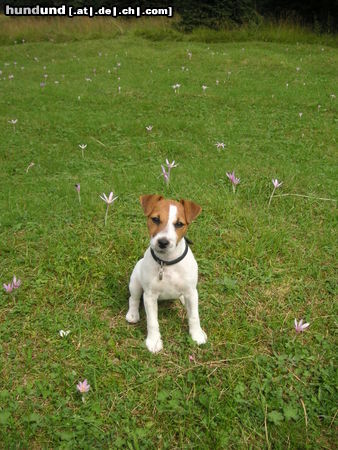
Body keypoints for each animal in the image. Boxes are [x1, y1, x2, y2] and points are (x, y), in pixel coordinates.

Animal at [126, 195, 207, 354]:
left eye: (179, 224)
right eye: (156, 219)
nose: (163, 242)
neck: (167, 262)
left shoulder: (191, 292)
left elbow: (194, 316)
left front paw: (197, 335)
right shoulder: (150, 296)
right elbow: (152, 321)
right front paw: (153, 341)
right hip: (135, 282)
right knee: (134, 298)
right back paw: (132, 314)